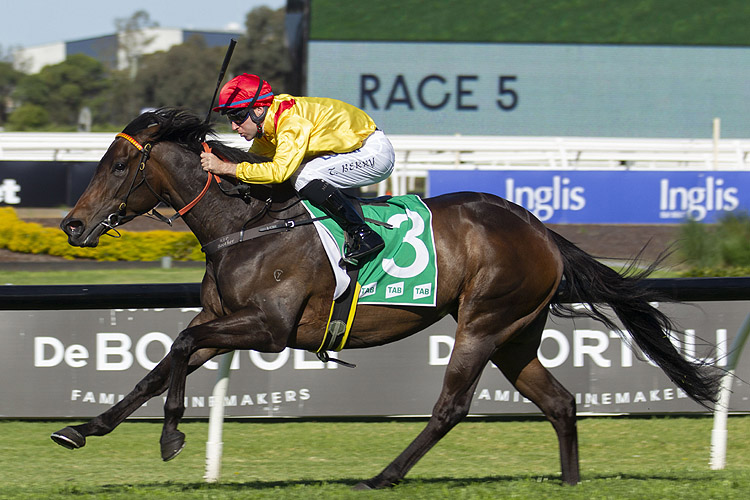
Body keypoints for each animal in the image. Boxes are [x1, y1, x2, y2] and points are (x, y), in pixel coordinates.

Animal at [53, 109, 724, 488]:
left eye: (118, 166)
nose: (72, 226)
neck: (245, 223)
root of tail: (539, 229)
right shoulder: (226, 317)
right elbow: (162, 363)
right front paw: (84, 428)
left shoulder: (266, 326)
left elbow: (181, 343)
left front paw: (170, 436)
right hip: (516, 333)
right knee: (559, 402)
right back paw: (570, 484)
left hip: (483, 322)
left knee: (451, 407)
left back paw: (383, 477)